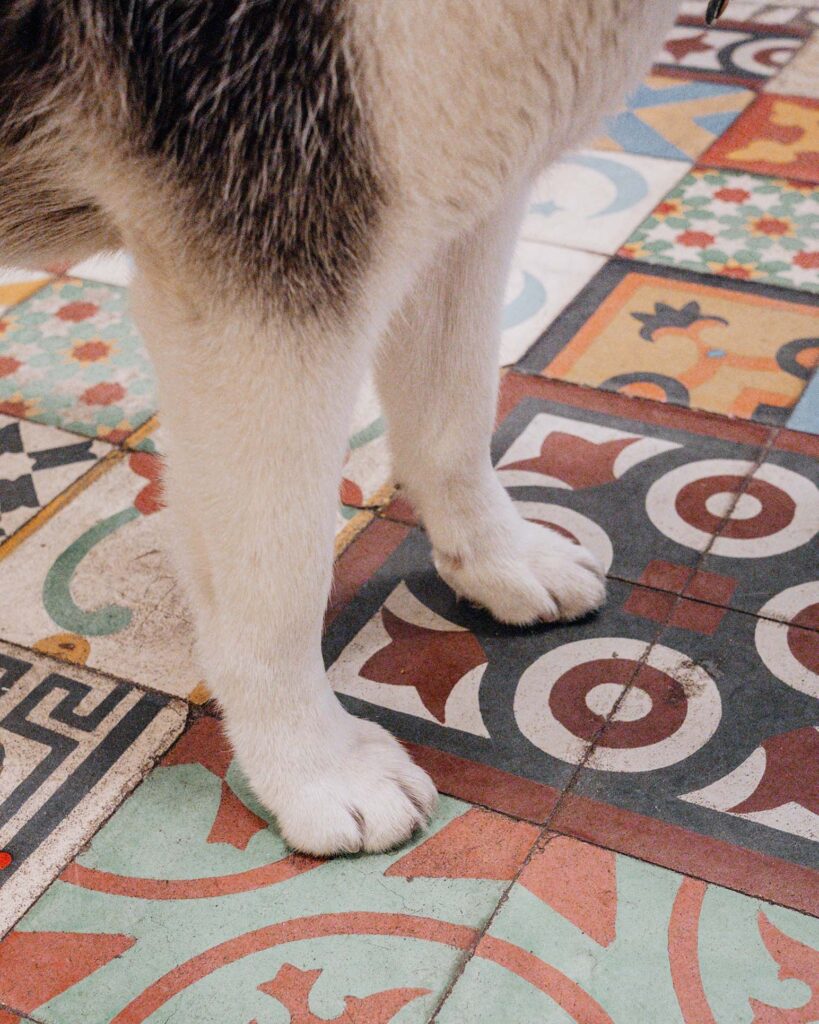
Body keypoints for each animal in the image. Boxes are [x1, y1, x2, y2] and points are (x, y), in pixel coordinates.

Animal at [0, 0, 679, 856]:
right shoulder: (265, 275)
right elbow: (277, 577)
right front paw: (313, 764)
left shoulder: (463, 194)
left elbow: (454, 420)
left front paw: (498, 557)